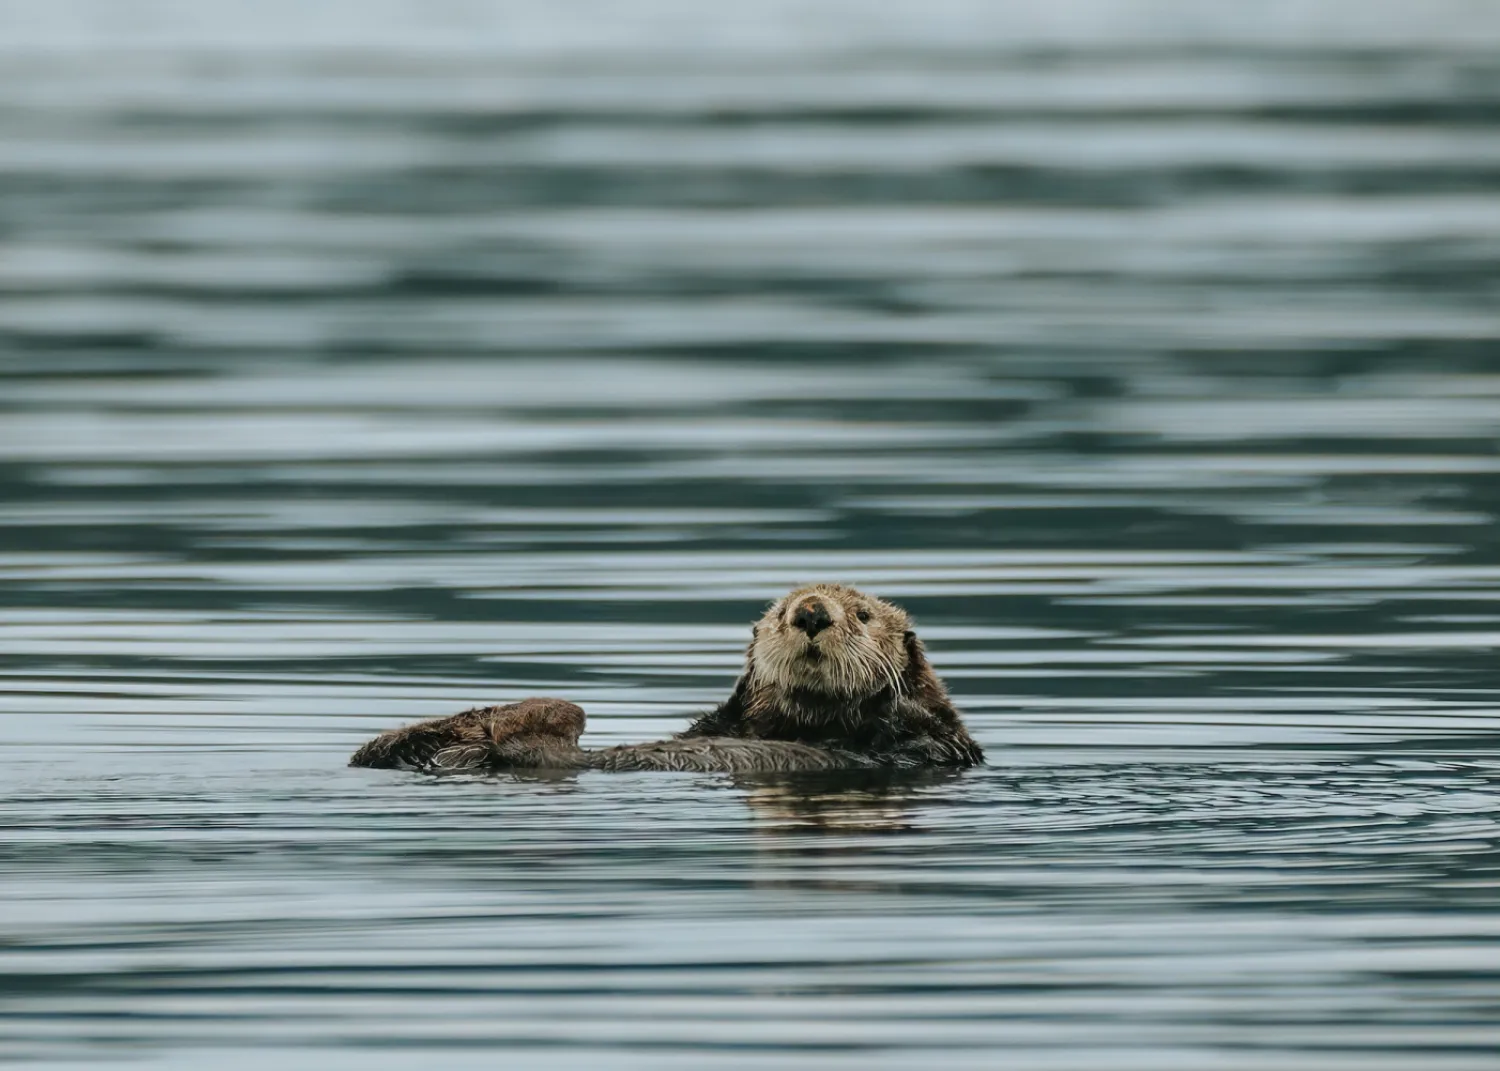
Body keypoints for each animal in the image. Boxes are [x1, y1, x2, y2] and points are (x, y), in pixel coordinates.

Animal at [349, 584, 983, 774]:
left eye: (864, 615)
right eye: (782, 610)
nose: (810, 612)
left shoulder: (943, 747)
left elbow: (922, 734)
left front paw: (890, 701)